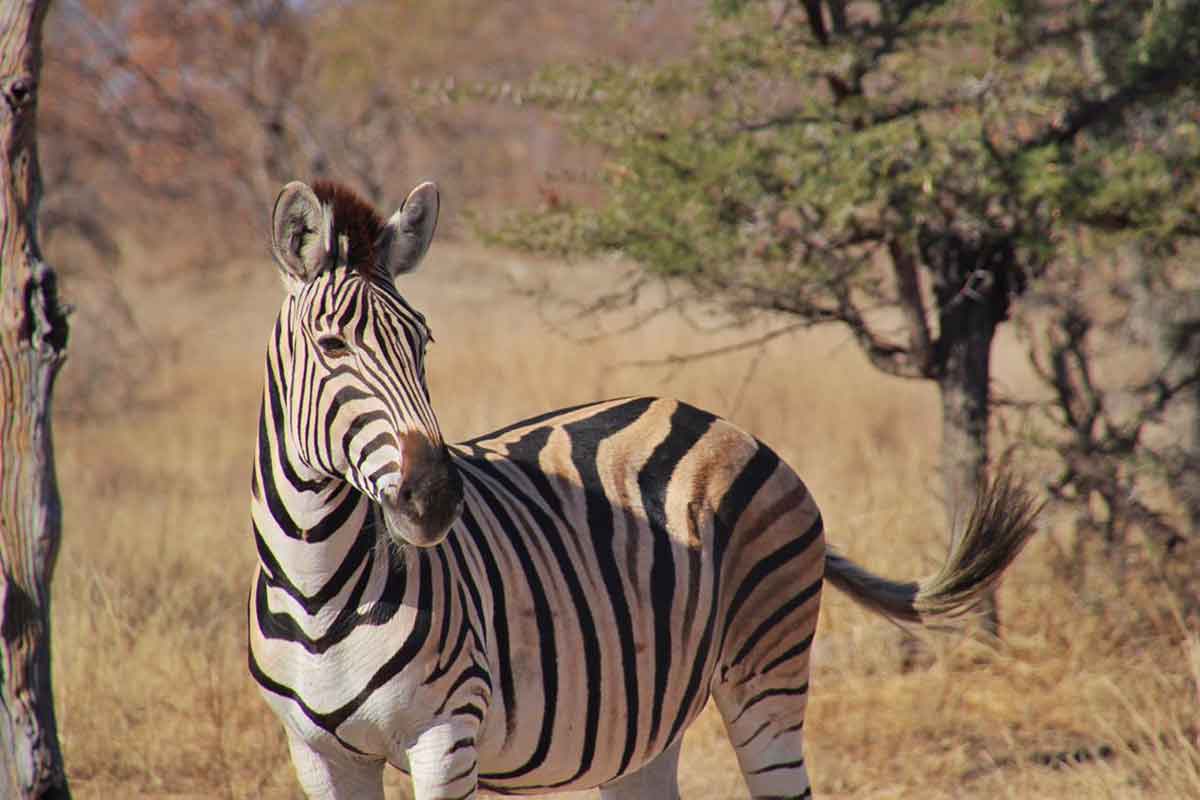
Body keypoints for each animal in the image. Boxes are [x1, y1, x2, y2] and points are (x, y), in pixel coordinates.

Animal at [249, 178, 1040, 800]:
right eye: (332, 346)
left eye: (423, 343)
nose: (436, 498)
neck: (319, 585)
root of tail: (724, 424)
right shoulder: (318, 755)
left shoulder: (447, 733)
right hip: (646, 721)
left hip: (768, 673)